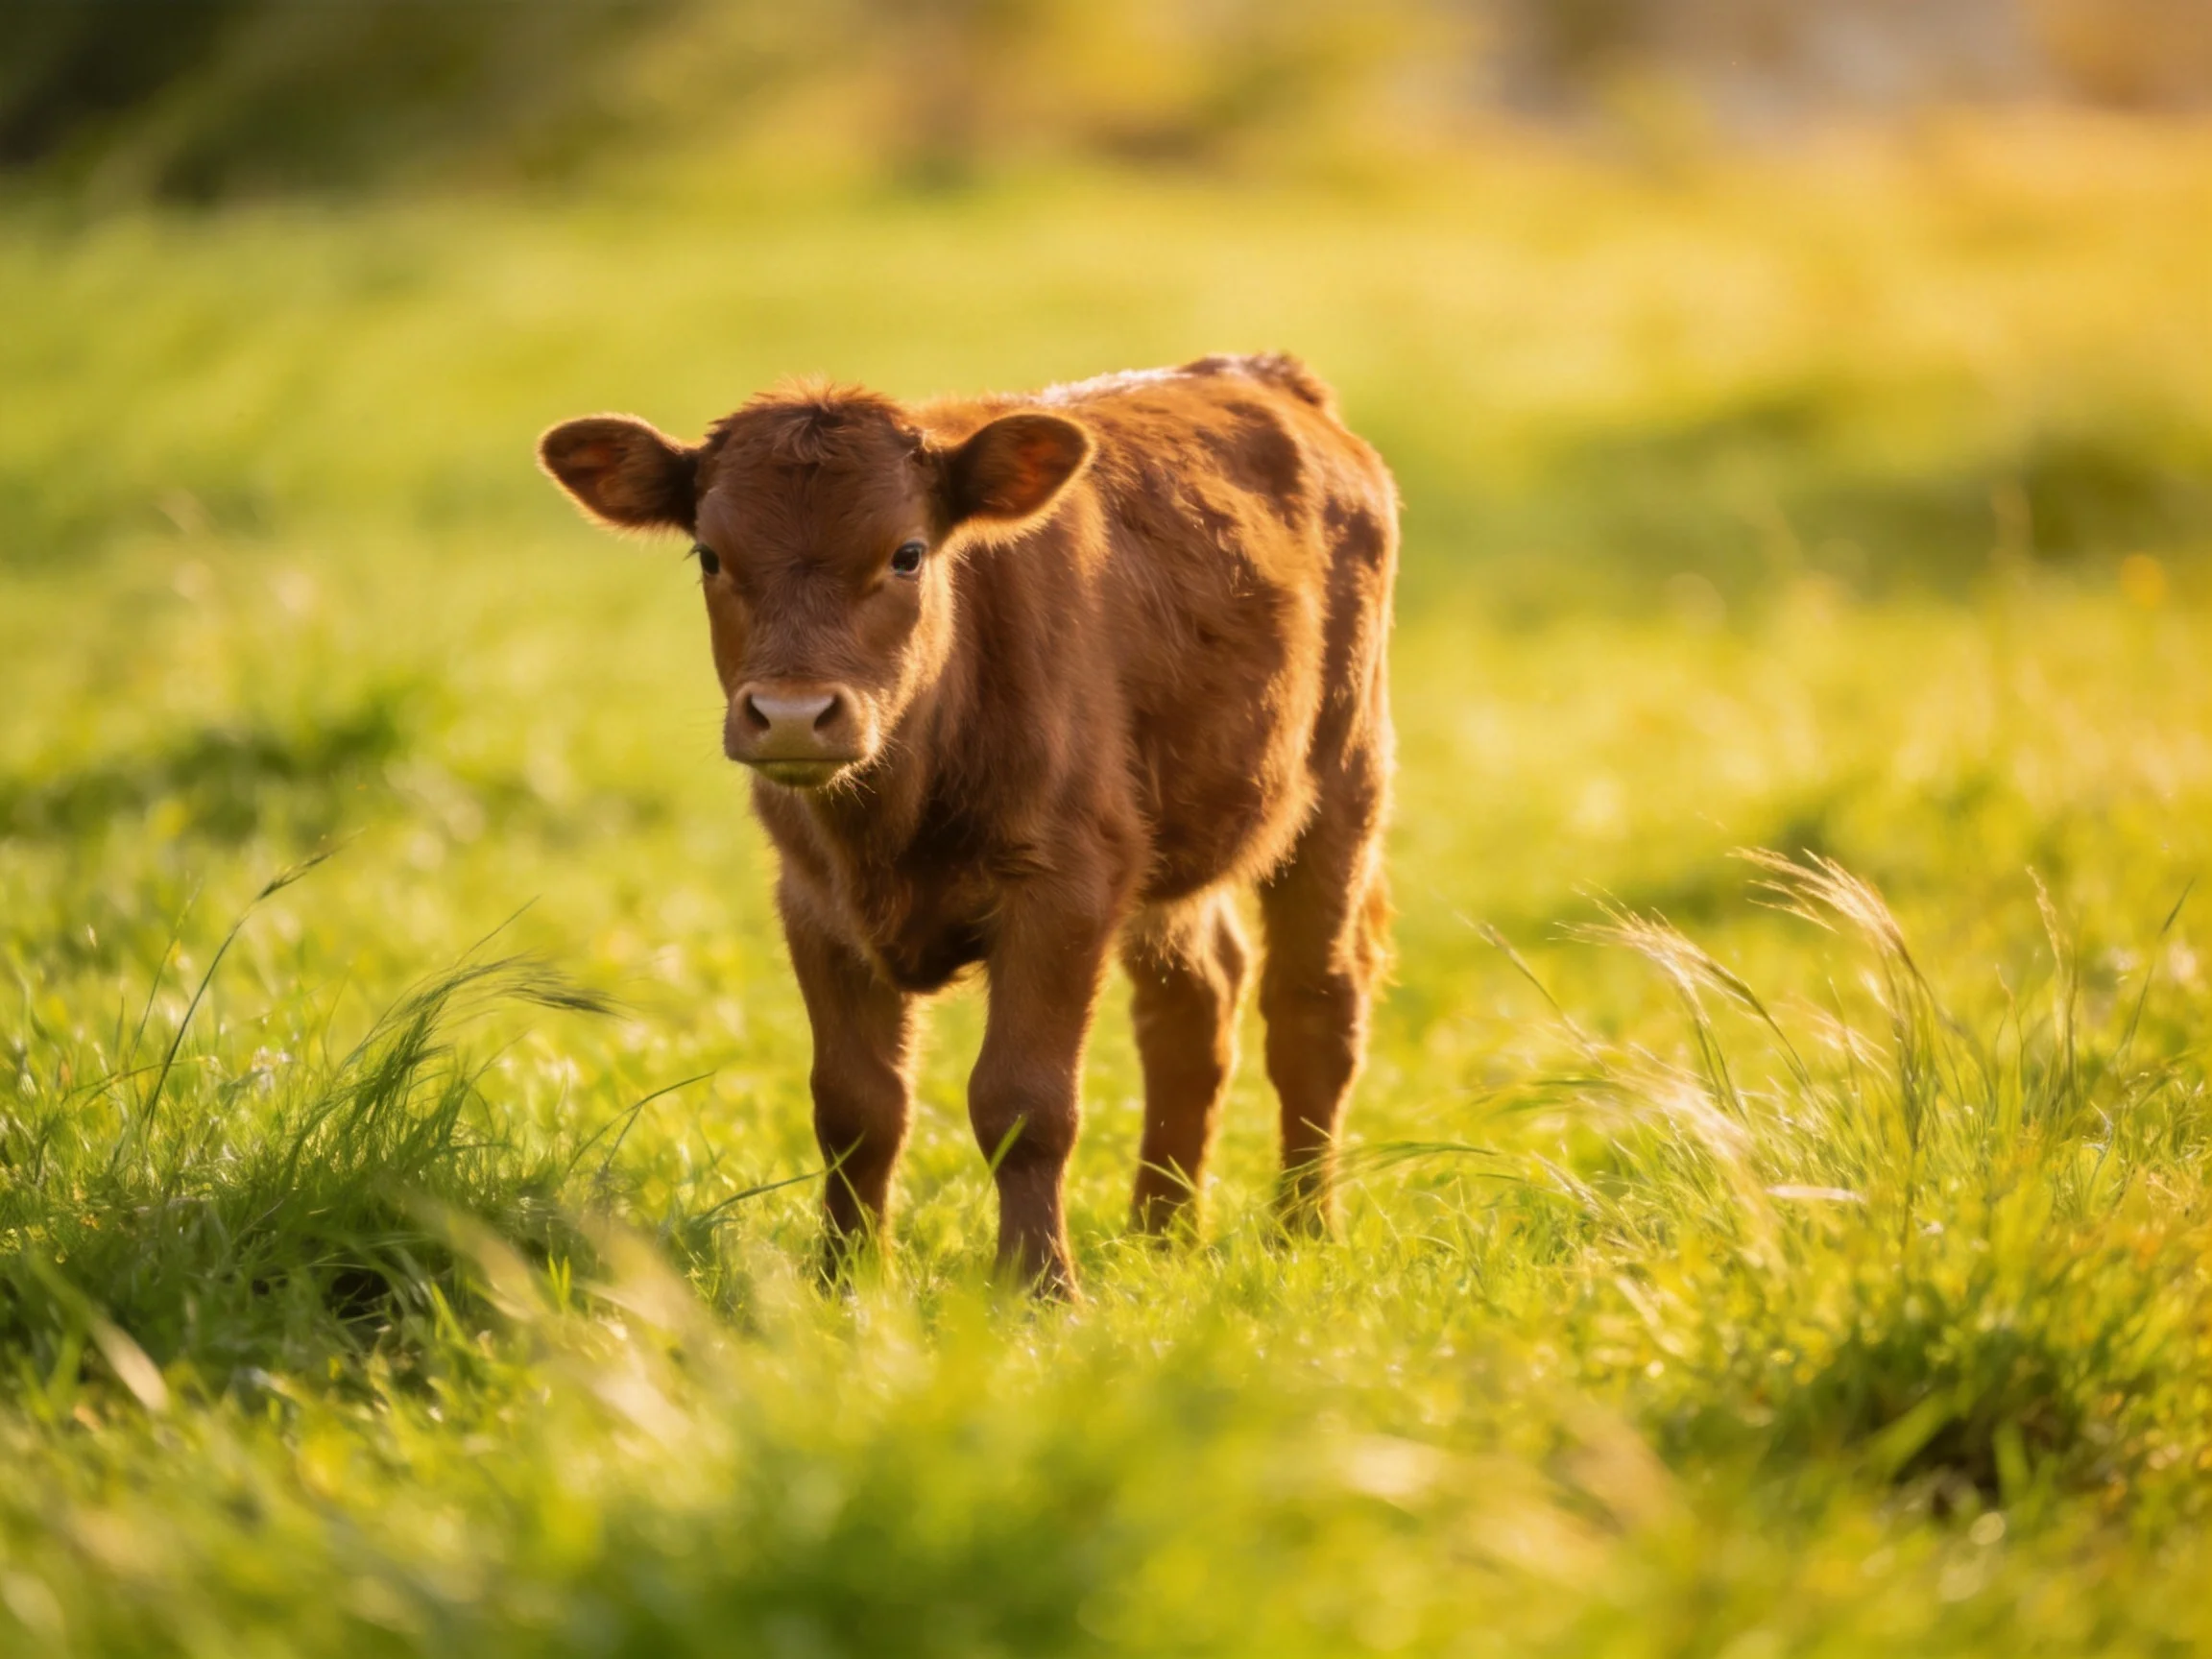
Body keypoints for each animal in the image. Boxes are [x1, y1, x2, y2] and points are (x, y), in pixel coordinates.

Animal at [538, 353, 1396, 1295]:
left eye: (908, 554)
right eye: (711, 554)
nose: (794, 716)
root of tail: (1260, 374)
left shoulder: (1064, 885)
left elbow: (1024, 1102)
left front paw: (1038, 1287)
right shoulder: (814, 902)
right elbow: (856, 1106)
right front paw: (843, 1281)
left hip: (1344, 780)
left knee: (1314, 1005)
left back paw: (1300, 1232)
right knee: (1194, 1004)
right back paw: (1160, 1234)